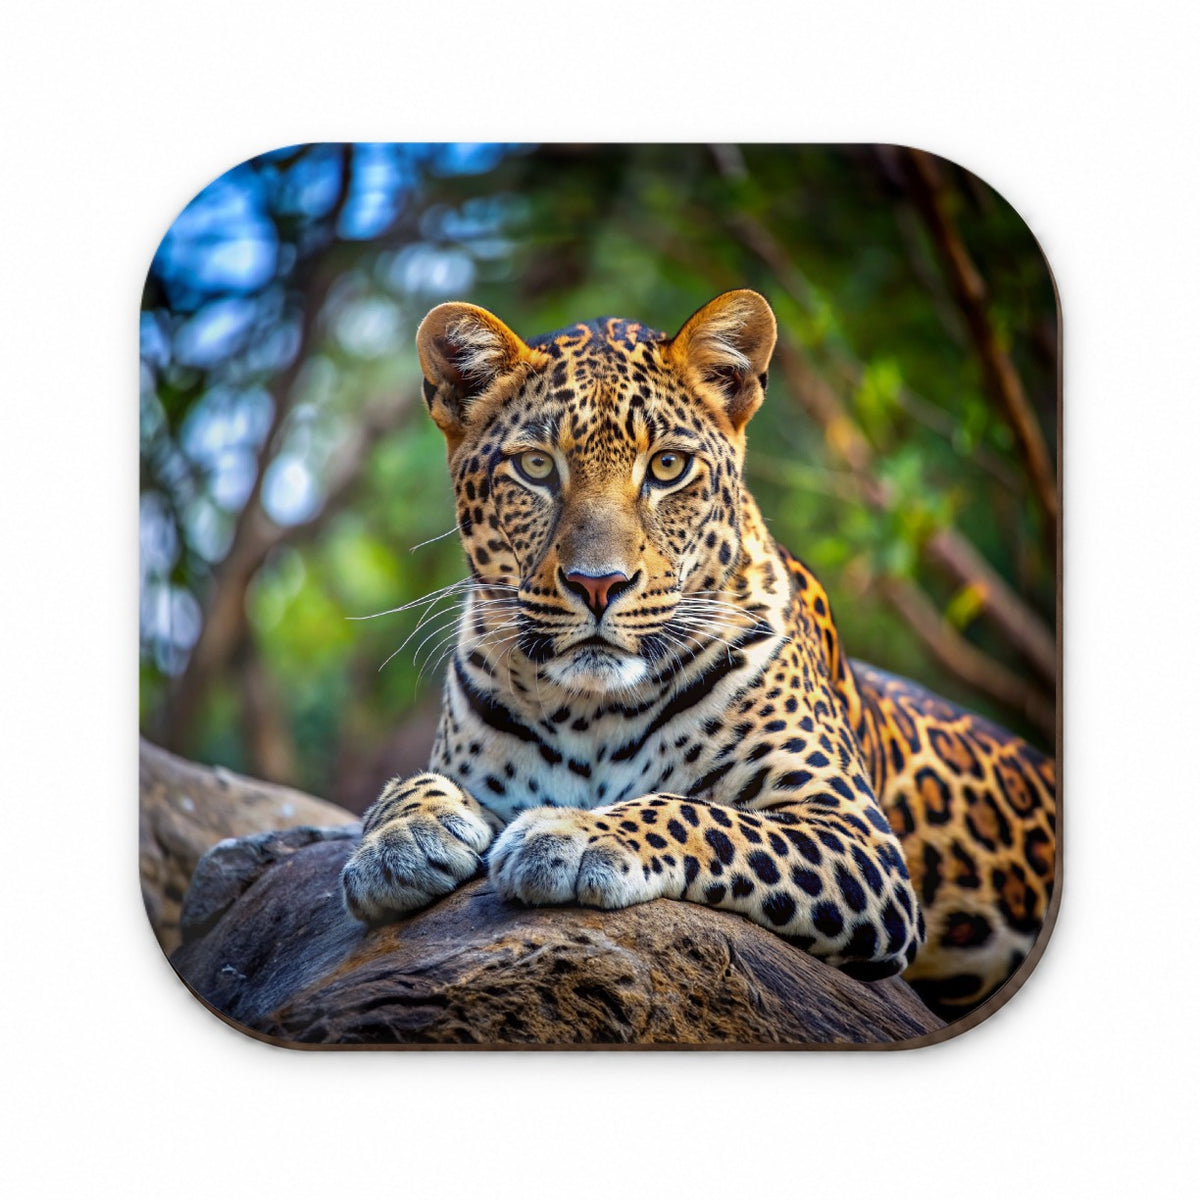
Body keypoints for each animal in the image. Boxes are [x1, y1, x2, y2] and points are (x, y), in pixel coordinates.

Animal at [340, 289, 1057, 1021]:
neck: (586, 710)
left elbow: (701, 815)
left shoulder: (856, 838)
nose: (597, 584)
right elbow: (408, 784)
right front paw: (399, 840)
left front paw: (578, 833)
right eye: (536, 467)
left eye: (667, 467)